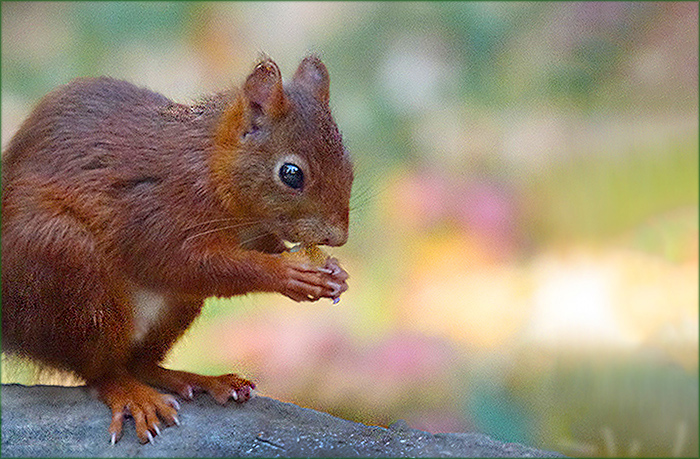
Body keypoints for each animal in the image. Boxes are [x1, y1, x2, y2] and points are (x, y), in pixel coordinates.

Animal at [1, 55, 353, 444]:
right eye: (291, 174)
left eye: (348, 162)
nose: (338, 237)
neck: (213, 170)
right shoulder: (155, 210)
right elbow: (183, 263)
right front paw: (288, 274)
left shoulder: (253, 234)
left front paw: (334, 273)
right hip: (65, 265)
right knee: (100, 371)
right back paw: (130, 394)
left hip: (175, 308)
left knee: (140, 363)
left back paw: (197, 379)